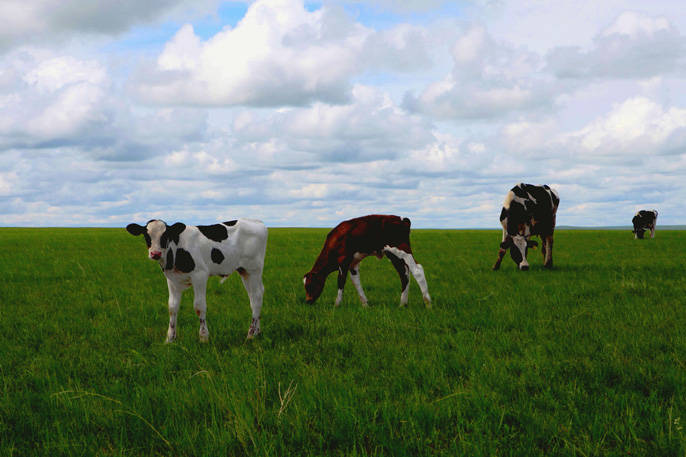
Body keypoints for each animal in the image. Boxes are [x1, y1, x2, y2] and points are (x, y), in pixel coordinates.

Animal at [126, 218, 268, 342]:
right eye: (146, 235)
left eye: (165, 235)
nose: (155, 254)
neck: (176, 250)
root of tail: (257, 221)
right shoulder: (172, 280)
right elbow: (172, 307)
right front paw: (170, 339)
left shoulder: (200, 275)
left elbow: (199, 306)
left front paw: (203, 337)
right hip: (244, 271)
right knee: (254, 295)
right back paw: (257, 331)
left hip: (254, 269)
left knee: (256, 296)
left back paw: (250, 335)